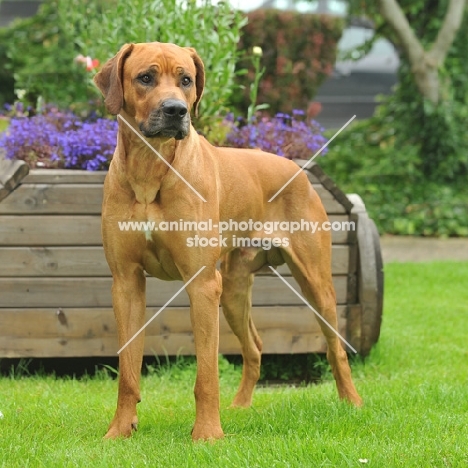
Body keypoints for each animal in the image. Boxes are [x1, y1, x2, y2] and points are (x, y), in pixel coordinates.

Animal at [93, 42, 360, 440]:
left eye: (186, 80)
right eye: (145, 77)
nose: (176, 111)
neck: (151, 166)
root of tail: (297, 169)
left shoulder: (203, 284)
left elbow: (207, 373)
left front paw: (207, 434)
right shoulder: (125, 282)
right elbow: (127, 371)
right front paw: (121, 430)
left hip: (315, 282)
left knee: (335, 347)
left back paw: (352, 402)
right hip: (234, 289)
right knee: (255, 347)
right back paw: (241, 406)